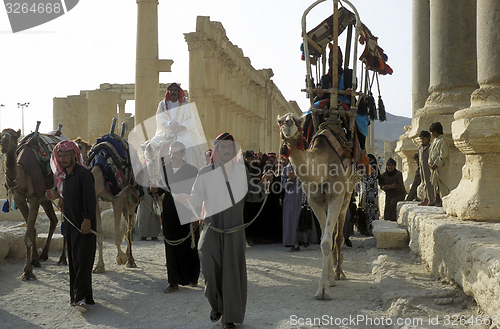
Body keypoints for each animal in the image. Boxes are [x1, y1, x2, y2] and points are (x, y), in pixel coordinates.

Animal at [0, 128, 59, 280]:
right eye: (1, 134)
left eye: (14, 136)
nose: (3, 142)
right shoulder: (19, 197)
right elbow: (31, 230)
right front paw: (35, 261)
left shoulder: (33, 197)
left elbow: (28, 234)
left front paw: (27, 271)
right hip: (45, 198)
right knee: (54, 220)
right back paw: (44, 254)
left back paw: (63, 259)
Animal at [278, 111, 356, 298]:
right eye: (279, 121)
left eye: (299, 121)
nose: (288, 124)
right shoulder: (314, 202)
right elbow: (323, 240)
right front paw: (327, 281)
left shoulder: (336, 197)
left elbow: (327, 242)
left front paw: (324, 289)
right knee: (332, 234)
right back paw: (333, 273)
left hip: (346, 197)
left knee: (339, 235)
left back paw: (339, 272)